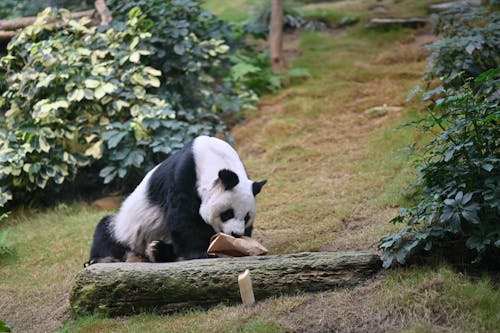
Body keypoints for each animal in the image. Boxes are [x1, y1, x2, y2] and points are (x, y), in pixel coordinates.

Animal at [87, 136, 266, 264]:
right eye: (227, 213)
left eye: (247, 217)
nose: (236, 234)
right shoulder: (184, 176)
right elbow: (183, 216)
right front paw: (200, 253)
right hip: (127, 229)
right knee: (106, 232)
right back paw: (99, 260)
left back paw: (157, 251)